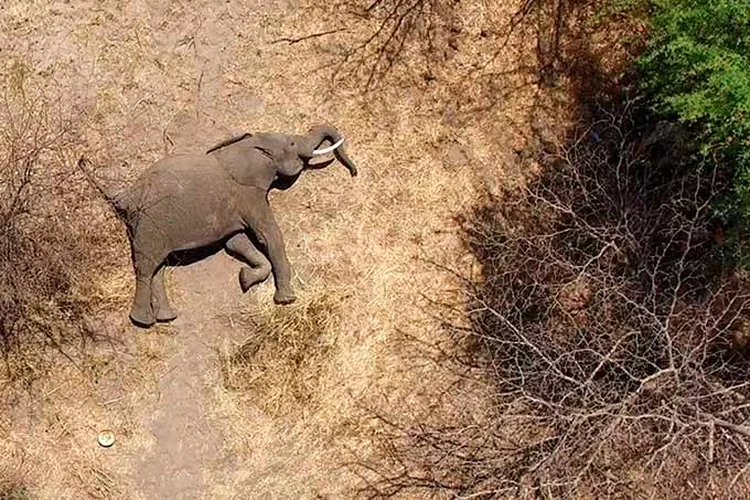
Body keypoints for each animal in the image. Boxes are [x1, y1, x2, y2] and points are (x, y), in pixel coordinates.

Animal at [78, 125, 360, 328]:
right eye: (291, 143)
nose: (354, 172)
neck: (246, 146)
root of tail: (126, 195)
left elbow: (236, 242)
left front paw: (244, 279)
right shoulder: (248, 194)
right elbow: (269, 236)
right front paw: (286, 300)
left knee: (158, 268)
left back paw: (167, 317)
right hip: (149, 222)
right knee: (147, 267)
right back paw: (143, 322)